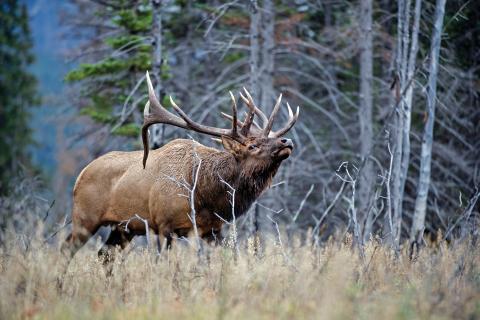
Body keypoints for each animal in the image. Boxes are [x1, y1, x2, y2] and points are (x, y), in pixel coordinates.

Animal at [62, 71, 298, 262]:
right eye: (252, 145)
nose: (286, 141)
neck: (205, 195)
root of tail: (80, 175)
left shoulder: (212, 230)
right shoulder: (163, 225)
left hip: (123, 227)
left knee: (104, 254)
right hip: (85, 217)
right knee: (67, 249)